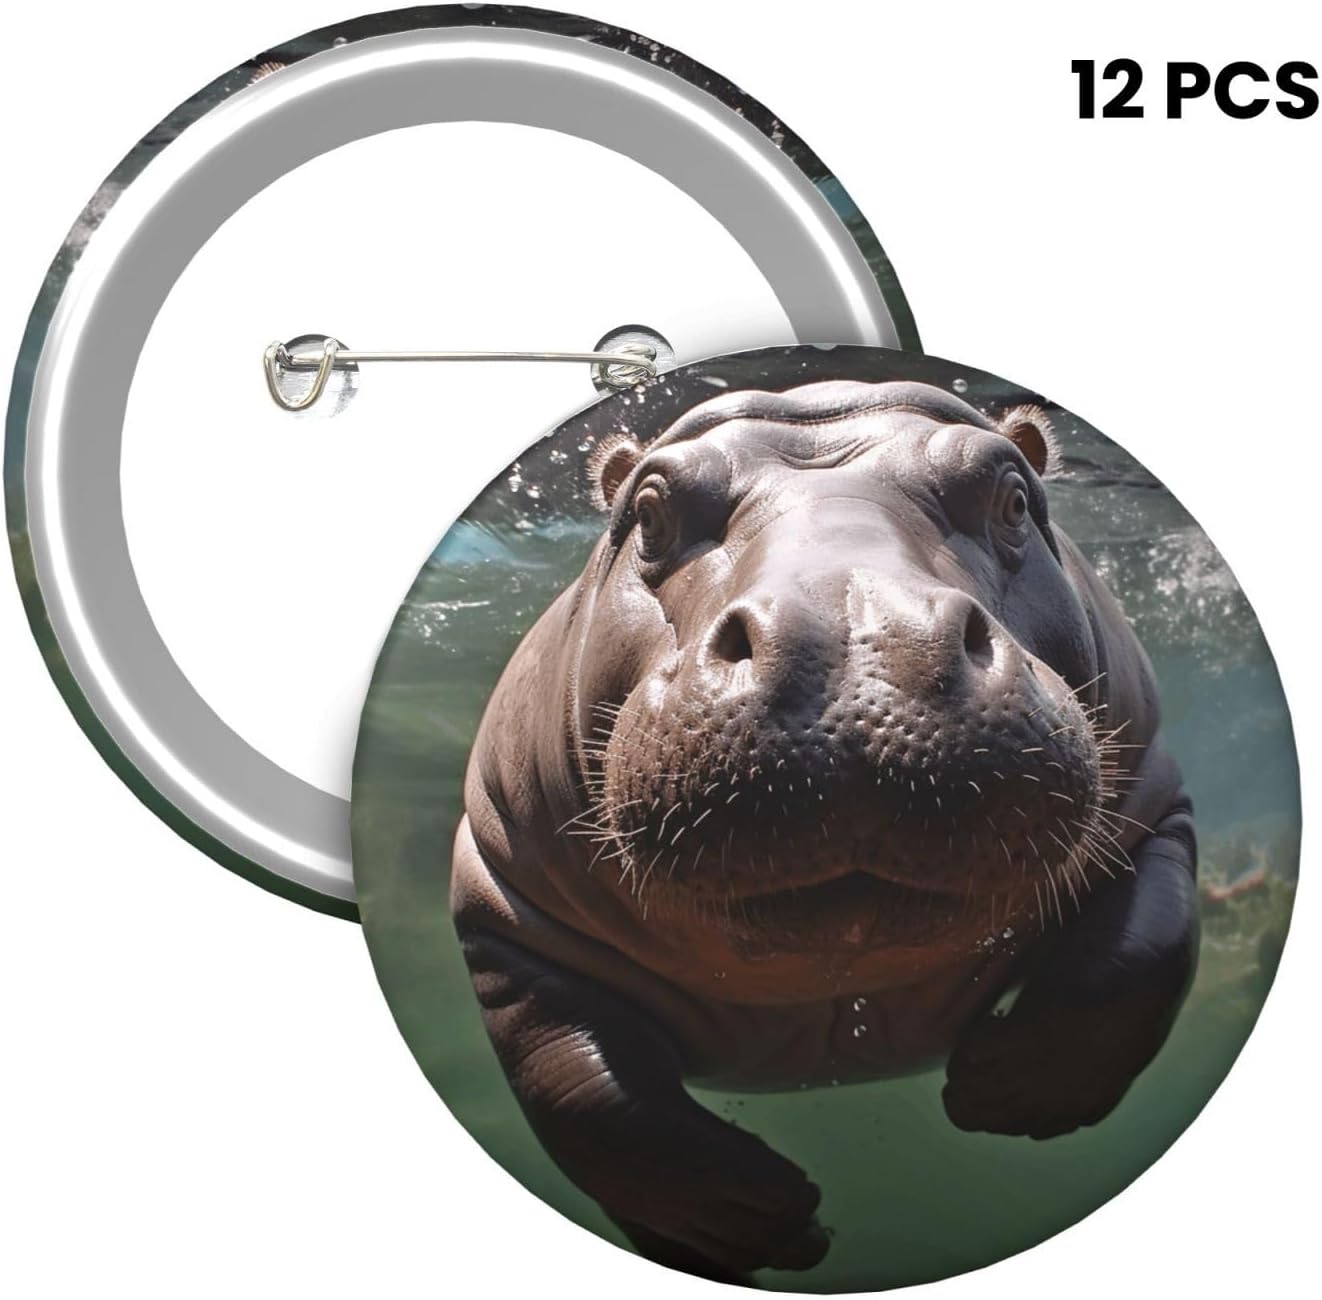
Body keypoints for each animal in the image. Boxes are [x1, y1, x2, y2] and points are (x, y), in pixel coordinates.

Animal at [450, 380, 1198, 1281]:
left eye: (1013, 498)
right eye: (651, 512)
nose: (853, 633)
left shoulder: (1154, 808)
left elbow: (1138, 956)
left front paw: (1005, 1092)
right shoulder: (502, 896)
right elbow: (582, 1089)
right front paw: (755, 1221)